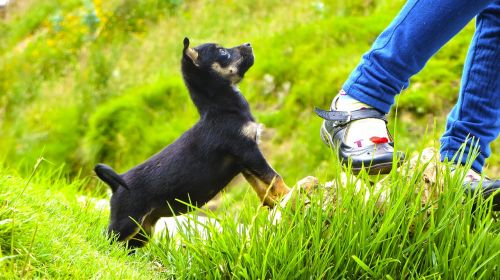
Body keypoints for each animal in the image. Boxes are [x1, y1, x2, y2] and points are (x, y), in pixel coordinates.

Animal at [94, 37, 290, 249]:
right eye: (223, 52)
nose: (248, 44)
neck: (221, 108)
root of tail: (116, 183)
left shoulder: (244, 163)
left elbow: (263, 188)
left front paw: (275, 203)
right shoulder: (249, 152)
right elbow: (275, 177)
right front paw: (289, 193)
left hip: (143, 230)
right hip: (126, 223)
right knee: (107, 239)